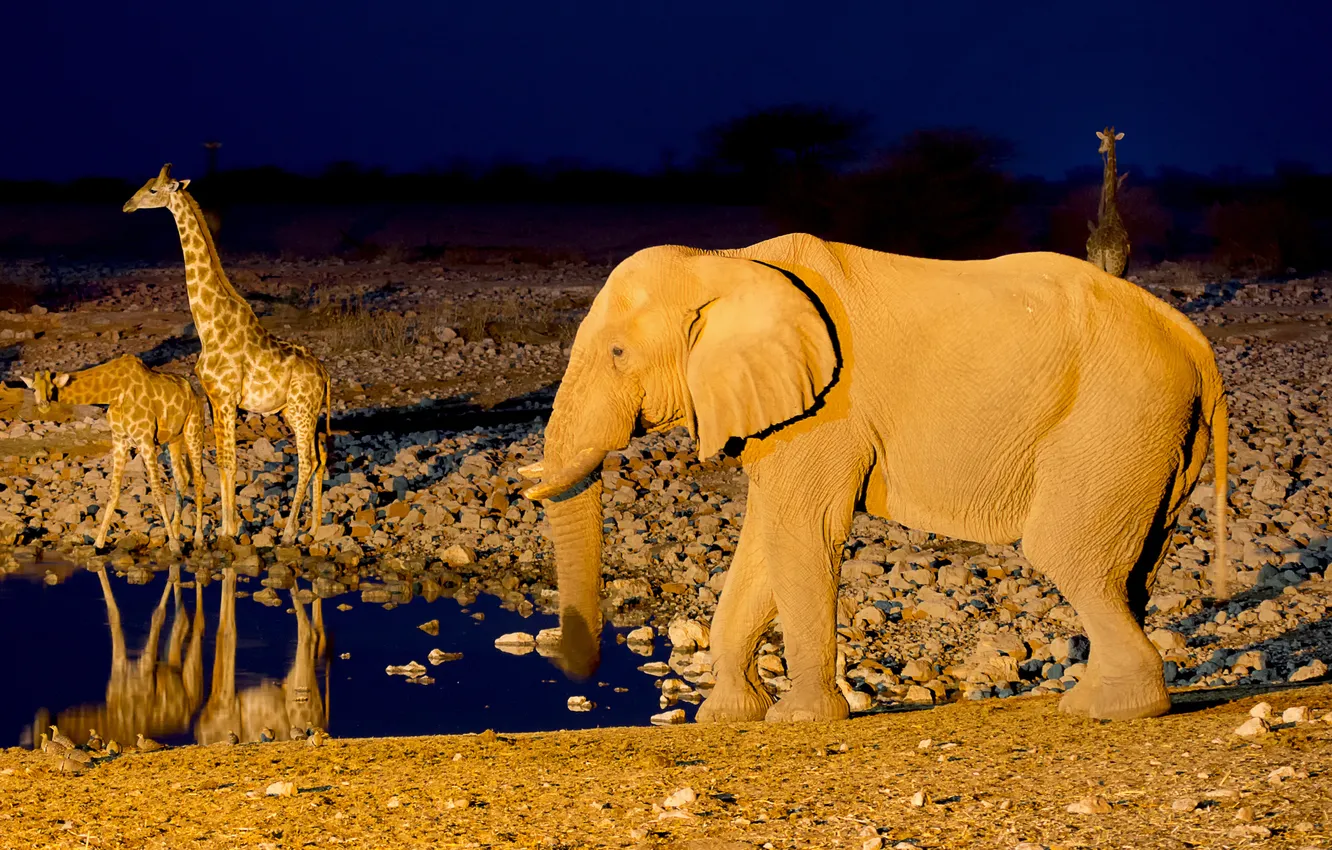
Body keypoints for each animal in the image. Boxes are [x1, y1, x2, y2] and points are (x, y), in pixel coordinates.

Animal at [22, 354, 203, 548]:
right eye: (33, 388)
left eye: (51, 388)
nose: (43, 405)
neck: (114, 391)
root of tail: (194, 391)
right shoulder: (119, 440)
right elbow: (113, 492)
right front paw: (98, 543)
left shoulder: (145, 440)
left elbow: (158, 492)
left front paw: (173, 546)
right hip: (172, 439)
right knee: (181, 478)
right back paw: (177, 533)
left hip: (193, 428)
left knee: (199, 479)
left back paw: (198, 538)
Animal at [122, 163, 330, 543]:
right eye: (145, 185)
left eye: (154, 190)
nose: (127, 205)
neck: (208, 324)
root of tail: (324, 373)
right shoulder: (213, 397)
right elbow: (221, 461)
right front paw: (224, 526)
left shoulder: (225, 397)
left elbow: (228, 461)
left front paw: (227, 530)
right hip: (298, 412)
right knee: (320, 457)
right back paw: (314, 526)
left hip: (302, 410)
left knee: (307, 460)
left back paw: (289, 532)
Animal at [516, 234, 1225, 724]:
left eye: (617, 353)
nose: (567, 666)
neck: (727, 262)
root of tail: (1192, 339)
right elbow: (764, 539)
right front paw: (727, 717)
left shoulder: (828, 408)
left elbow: (801, 532)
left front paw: (799, 720)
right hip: (1154, 437)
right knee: (1133, 567)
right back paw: (1095, 699)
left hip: (1116, 415)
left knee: (1067, 553)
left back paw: (1110, 710)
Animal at [1086, 125, 1129, 278]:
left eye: (1103, 140)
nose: (1099, 150)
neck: (1112, 203)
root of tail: (1103, 251)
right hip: (1114, 268)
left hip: (1096, 264)